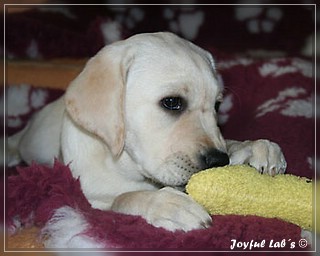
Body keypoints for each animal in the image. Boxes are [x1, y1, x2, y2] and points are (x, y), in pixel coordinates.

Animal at [8, 32, 286, 232]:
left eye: (217, 106)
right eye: (172, 102)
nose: (218, 161)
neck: (123, 162)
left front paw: (255, 147)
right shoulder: (90, 199)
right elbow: (125, 198)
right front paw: (166, 204)